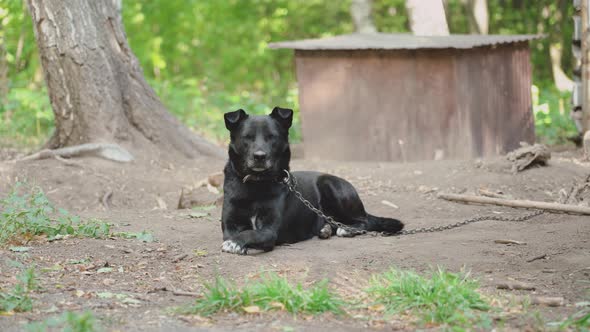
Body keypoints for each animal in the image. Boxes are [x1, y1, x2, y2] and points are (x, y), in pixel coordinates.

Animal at [220, 106, 404, 254]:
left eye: (272, 137)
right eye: (247, 137)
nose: (259, 156)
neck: (256, 184)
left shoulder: (269, 231)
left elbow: (250, 232)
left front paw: (235, 243)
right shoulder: (229, 225)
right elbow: (237, 232)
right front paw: (235, 243)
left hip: (331, 186)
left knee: (363, 221)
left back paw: (347, 230)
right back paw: (326, 229)